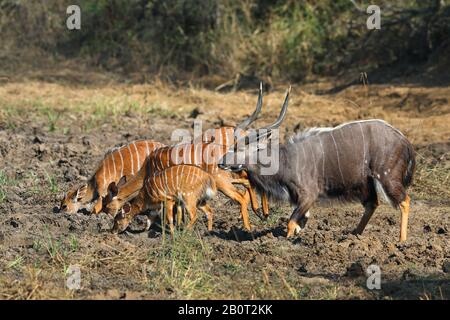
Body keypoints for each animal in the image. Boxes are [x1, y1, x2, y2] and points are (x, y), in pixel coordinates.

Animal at [221, 118, 414, 242]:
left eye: (238, 149)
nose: (221, 161)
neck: (286, 160)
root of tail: (405, 141)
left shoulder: (309, 195)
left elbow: (291, 223)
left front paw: (286, 241)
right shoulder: (299, 200)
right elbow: (300, 222)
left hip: (387, 177)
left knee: (404, 200)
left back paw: (401, 241)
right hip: (366, 183)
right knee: (372, 203)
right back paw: (353, 235)